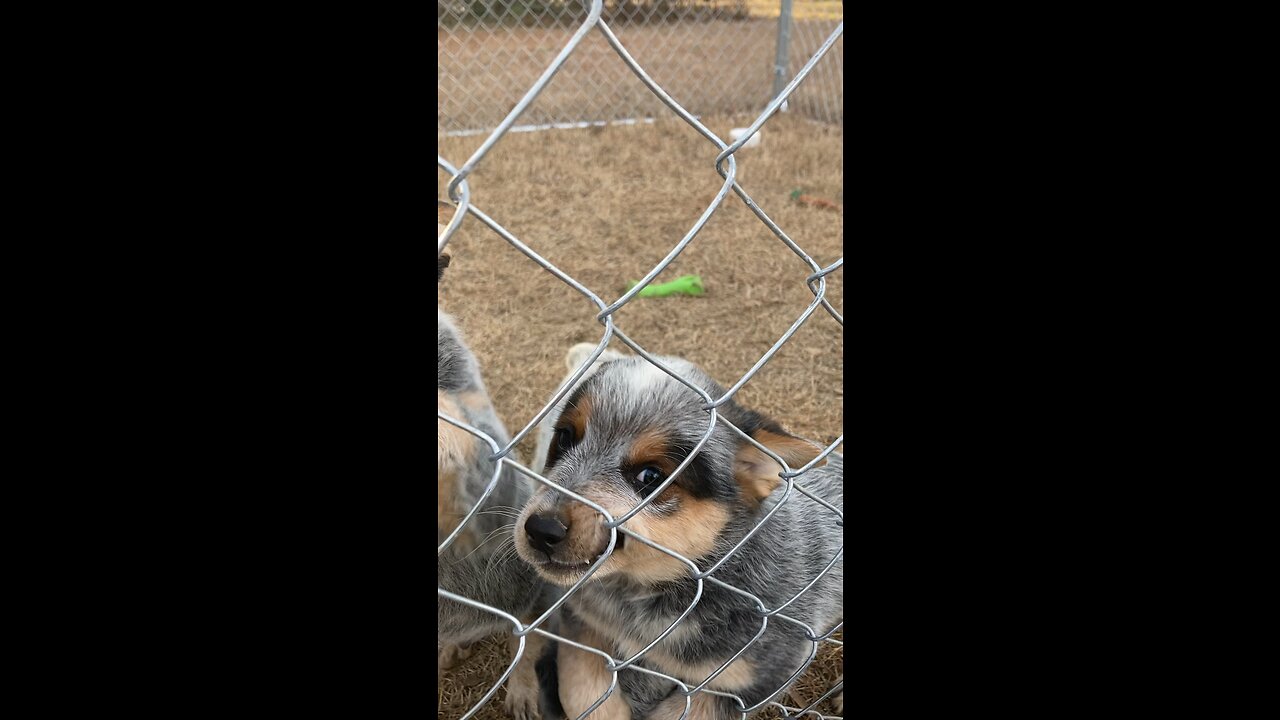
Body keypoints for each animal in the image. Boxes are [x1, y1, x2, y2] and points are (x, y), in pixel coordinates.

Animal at [514, 353, 844, 717]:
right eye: (565, 437)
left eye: (650, 476)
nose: (541, 529)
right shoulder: (584, 629)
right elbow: (583, 692)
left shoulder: (754, 679)